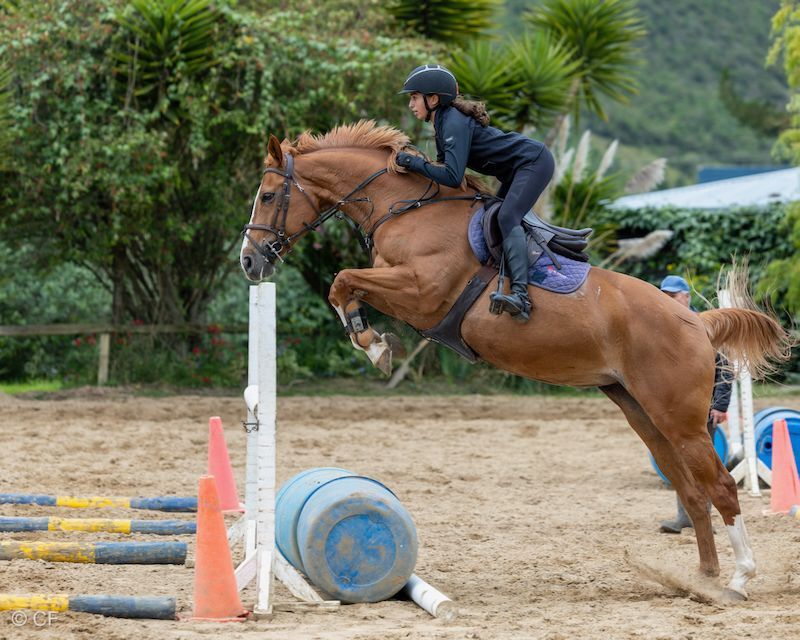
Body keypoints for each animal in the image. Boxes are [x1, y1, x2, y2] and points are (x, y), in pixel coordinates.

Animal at [239, 120, 791, 600]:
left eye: (267, 195)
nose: (250, 261)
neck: (404, 207)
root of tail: (697, 321)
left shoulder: (421, 292)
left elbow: (342, 280)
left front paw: (372, 343)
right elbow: (344, 284)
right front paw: (371, 340)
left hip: (680, 419)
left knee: (721, 486)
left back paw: (739, 579)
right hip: (644, 414)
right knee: (693, 492)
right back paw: (702, 580)